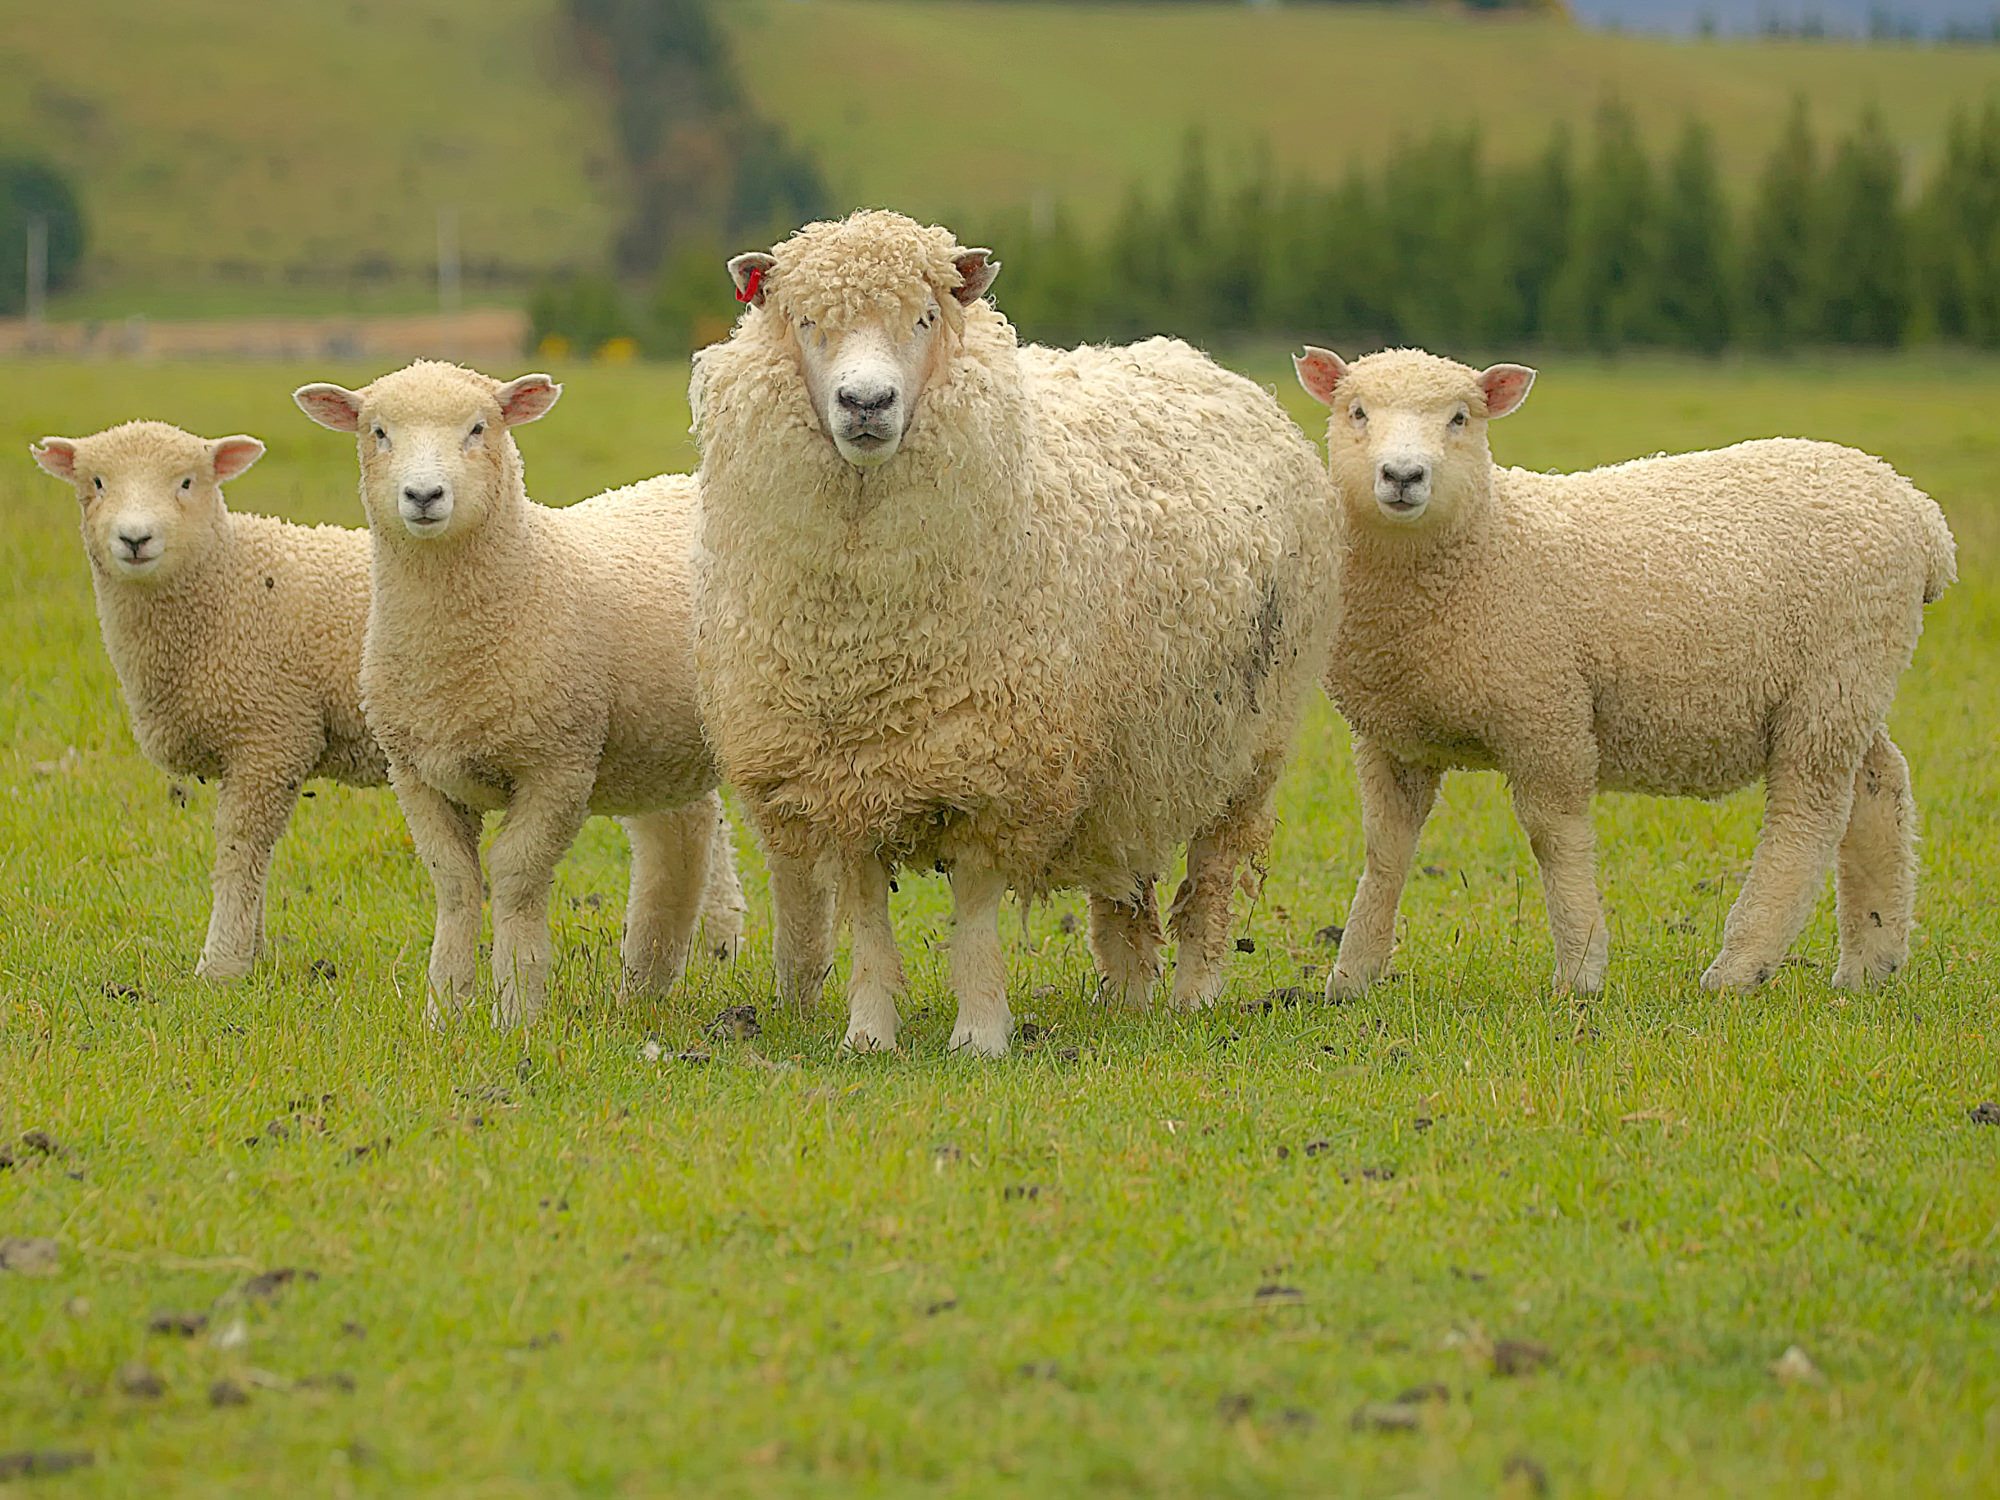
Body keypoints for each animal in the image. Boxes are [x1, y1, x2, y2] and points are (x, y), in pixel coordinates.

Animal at [30, 421, 386, 980]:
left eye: (186, 482)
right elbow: (255, 860)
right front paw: (252, 956)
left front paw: (221, 965)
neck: (228, 578)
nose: (135, 538)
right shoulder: (248, 746)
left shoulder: (272, 738)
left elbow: (240, 849)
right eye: (98, 482)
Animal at [294, 362, 747, 1026]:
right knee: (679, 838)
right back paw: (645, 984)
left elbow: (515, 878)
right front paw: (446, 1011)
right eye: (377, 432)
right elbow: (455, 883)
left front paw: (517, 1011)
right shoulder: (416, 773)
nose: (424, 496)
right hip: (661, 743)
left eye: (479, 428)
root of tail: (681, 479)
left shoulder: (557, 764)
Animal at [690, 209, 1337, 1055]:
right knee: (1126, 874)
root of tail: (1213, 369)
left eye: (926, 319)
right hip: (1132, 753)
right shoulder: (843, 778)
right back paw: (1129, 994)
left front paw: (980, 1032)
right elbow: (865, 912)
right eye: (805, 322)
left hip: (1250, 745)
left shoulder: (995, 762)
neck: (862, 643)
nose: (866, 402)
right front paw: (869, 1032)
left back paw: (1194, 993)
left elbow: (974, 909)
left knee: (1215, 870)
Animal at [1293, 345, 1956, 999]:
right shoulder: (1390, 739)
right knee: (1880, 785)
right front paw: (1351, 975)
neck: (1485, 542)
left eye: (1461, 418)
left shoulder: (1548, 712)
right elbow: (1385, 849)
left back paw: (1740, 966)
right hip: (1855, 679)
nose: (1403, 477)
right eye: (1356, 411)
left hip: (1833, 675)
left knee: (1807, 814)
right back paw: (1871, 964)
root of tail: (1924, 517)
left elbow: (1554, 839)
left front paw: (1580, 972)